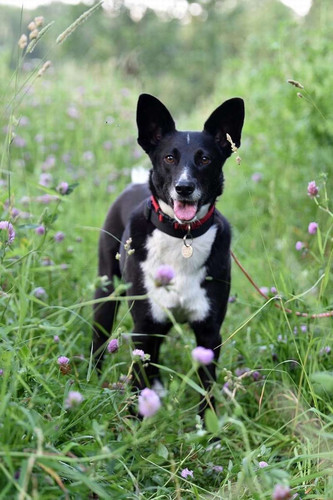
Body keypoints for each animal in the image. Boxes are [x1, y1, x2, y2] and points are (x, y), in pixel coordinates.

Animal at [93, 94, 244, 414]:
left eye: (205, 159)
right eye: (169, 158)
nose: (184, 187)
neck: (182, 236)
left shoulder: (209, 331)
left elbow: (207, 391)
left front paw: (208, 427)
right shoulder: (143, 325)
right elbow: (137, 383)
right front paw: (135, 420)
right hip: (106, 292)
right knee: (99, 336)